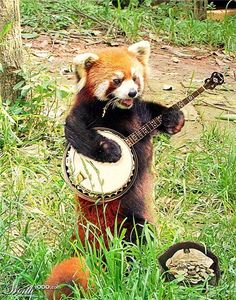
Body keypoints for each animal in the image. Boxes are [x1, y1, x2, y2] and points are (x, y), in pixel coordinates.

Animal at [44, 41, 184, 298]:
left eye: (135, 78)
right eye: (117, 80)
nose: (132, 93)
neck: (120, 111)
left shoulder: (141, 112)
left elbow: (156, 112)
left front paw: (173, 117)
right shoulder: (83, 114)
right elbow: (77, 132)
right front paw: (111, 151)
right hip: (119, 220)